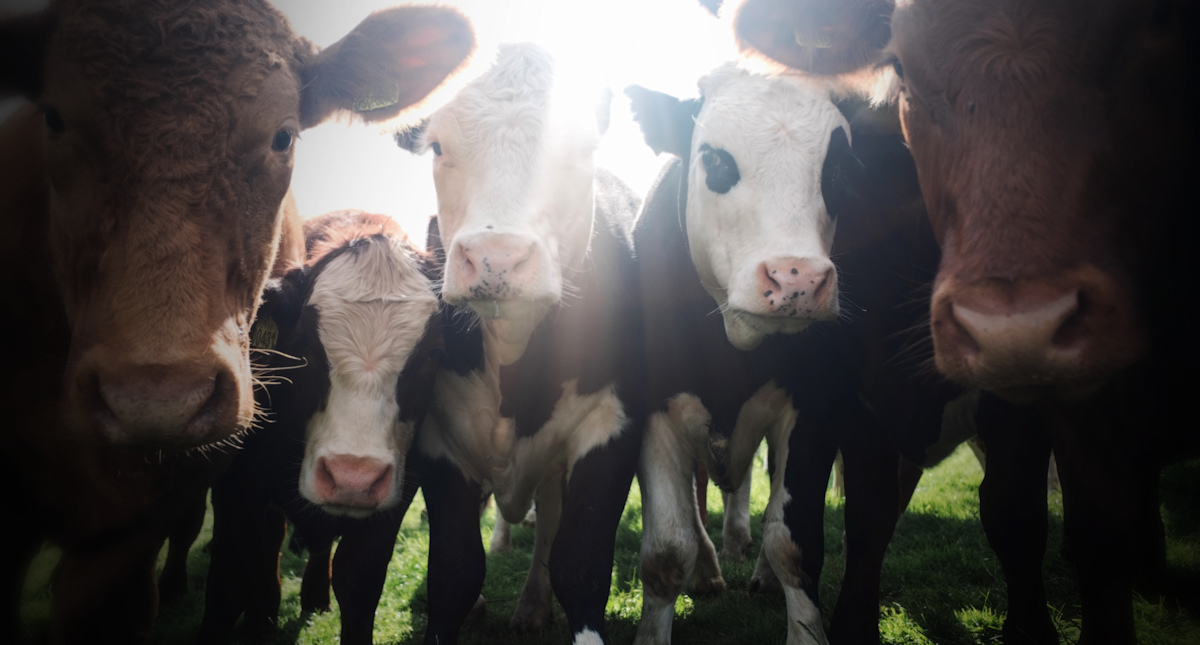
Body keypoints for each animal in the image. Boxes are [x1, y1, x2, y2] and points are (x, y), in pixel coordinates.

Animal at [197, 210, 443, 644]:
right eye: (305, 346)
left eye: (431, 354)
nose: (352, 477)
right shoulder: (238, 481)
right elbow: (230, 579)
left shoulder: (400, 489)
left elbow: (359, 581)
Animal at [396, 42, 645, 644]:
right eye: (438, 146)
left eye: (582, 147)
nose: (496, 258)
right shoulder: (439, 438)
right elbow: (454, 570)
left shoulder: (613, 422)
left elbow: (580, 562)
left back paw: (532, 604)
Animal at [625, 62, 959, 645]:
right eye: (715, 159)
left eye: (840, 167)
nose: (797, 278)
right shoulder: (657, 408)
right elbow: (667, 551)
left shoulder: (814, 408)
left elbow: (792, 542)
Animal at [732, 0, 1199, 642]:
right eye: (901, 65)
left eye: (1155, 22)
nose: (1014, 327)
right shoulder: (854, 394)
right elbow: (867, 512)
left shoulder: (1017, 406)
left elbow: (1013, 513)